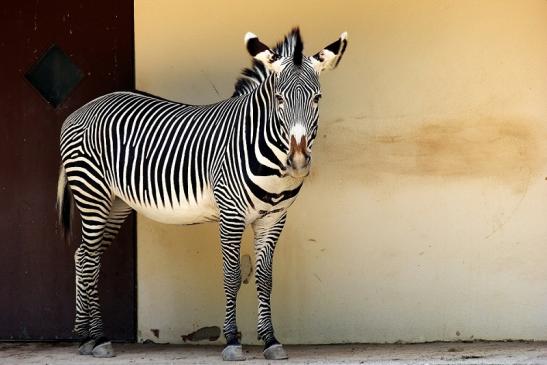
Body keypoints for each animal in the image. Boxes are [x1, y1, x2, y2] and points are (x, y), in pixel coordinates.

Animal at [55, 27, 346, 358]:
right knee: (90, 260)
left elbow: (265, 278)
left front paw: (271, 340)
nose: (297, 161)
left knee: (83, 256)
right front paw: (232, 340)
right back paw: (99, 338)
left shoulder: (274, 218)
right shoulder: (231, 214)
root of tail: (82, 109)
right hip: (92, 192)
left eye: (317, 98)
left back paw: (85, 337)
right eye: (279, 98)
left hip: (115, 204)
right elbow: (232, 275)